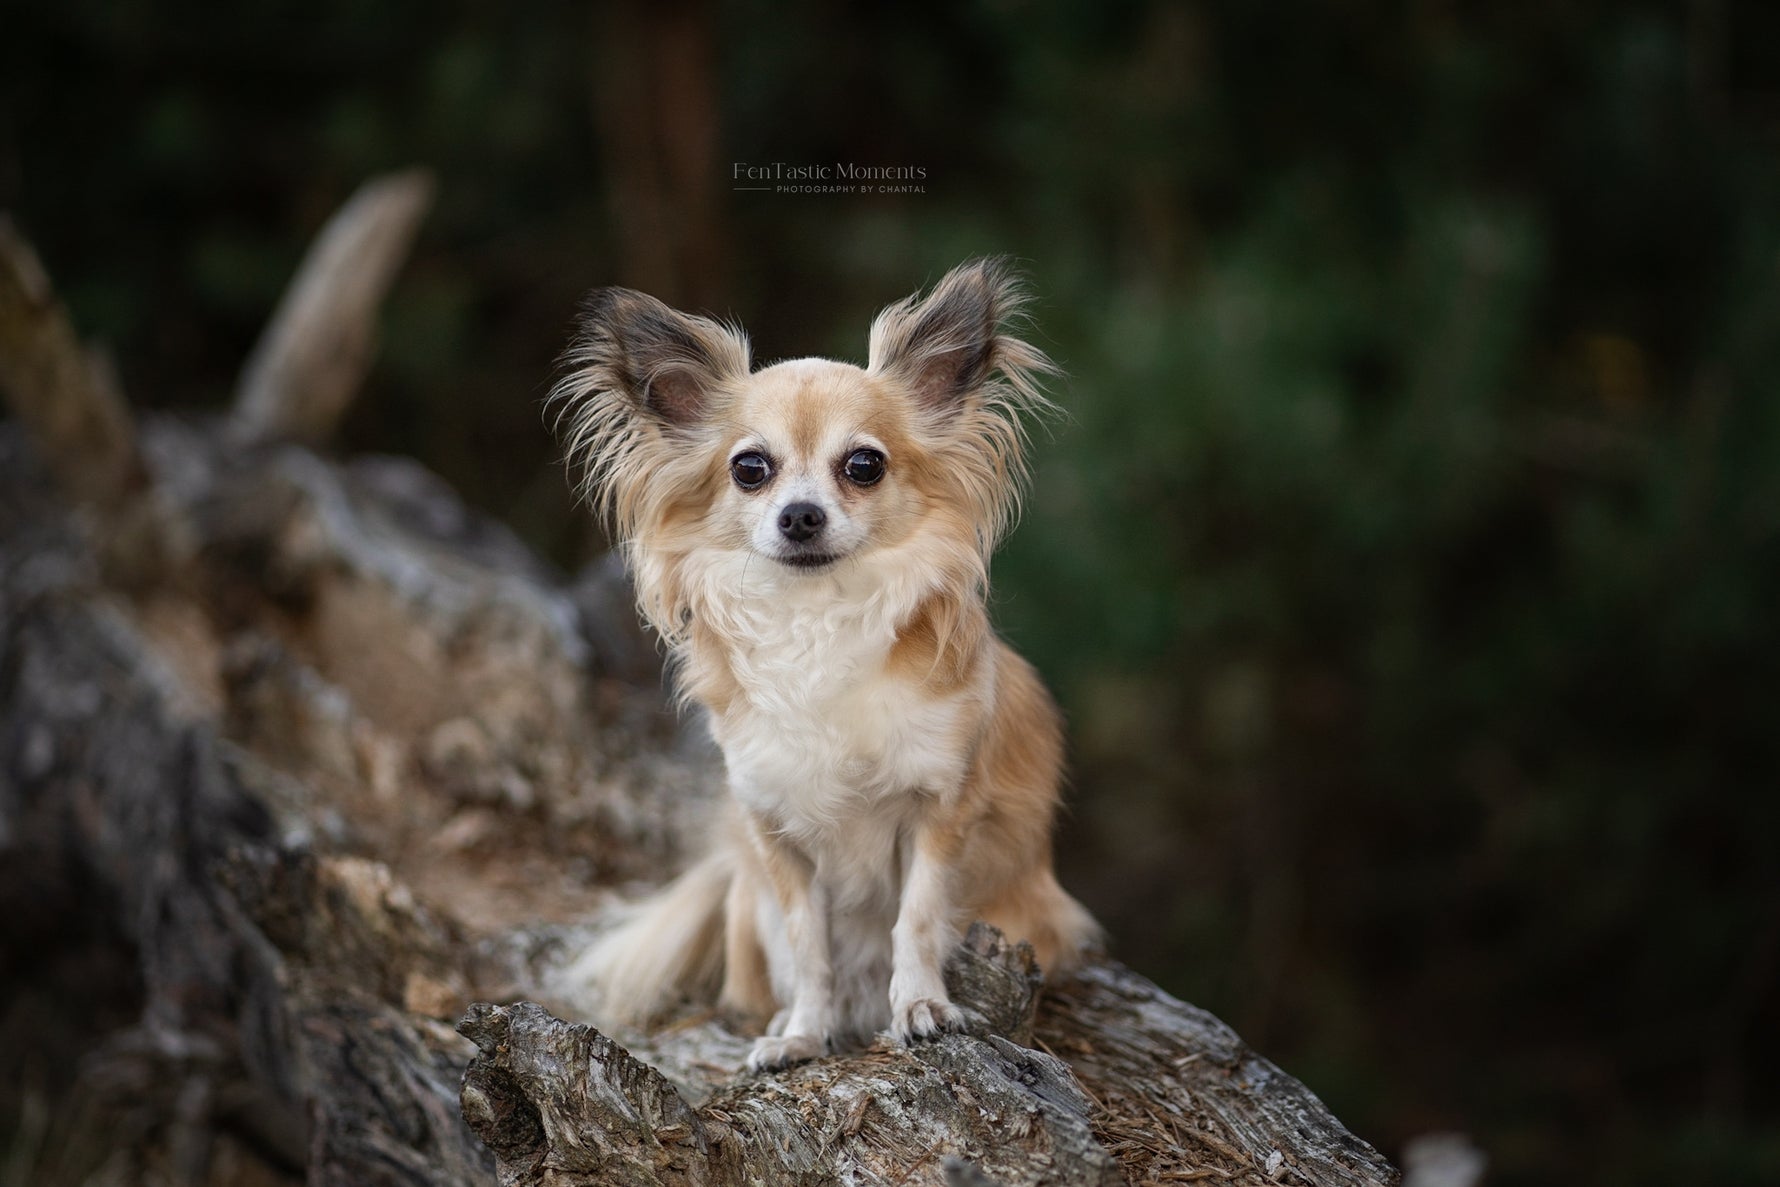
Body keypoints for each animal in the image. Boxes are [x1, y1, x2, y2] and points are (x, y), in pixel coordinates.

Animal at [551, 259, 1096, 1074]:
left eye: (863, 465)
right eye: (750, 469)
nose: (800, 514)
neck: (817, 616)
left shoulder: (939, 812)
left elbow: (917, 918)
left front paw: (921, 1006)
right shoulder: (778, 836)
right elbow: (810, 947)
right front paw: (805, 1033)